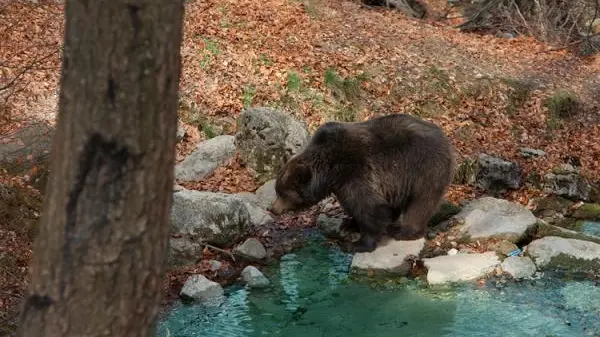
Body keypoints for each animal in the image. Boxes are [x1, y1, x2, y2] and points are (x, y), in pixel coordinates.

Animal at [268, 113, 454, 252]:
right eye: (277, 190)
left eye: (282, 193)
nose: (272, 208)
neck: (329, 172)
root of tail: (445, 138)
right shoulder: (341, 183)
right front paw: (349, 224)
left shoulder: (355, 170)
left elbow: (369, 207)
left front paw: (359, 243)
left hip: (424, 167)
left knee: (421, 202)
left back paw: (404, 231)